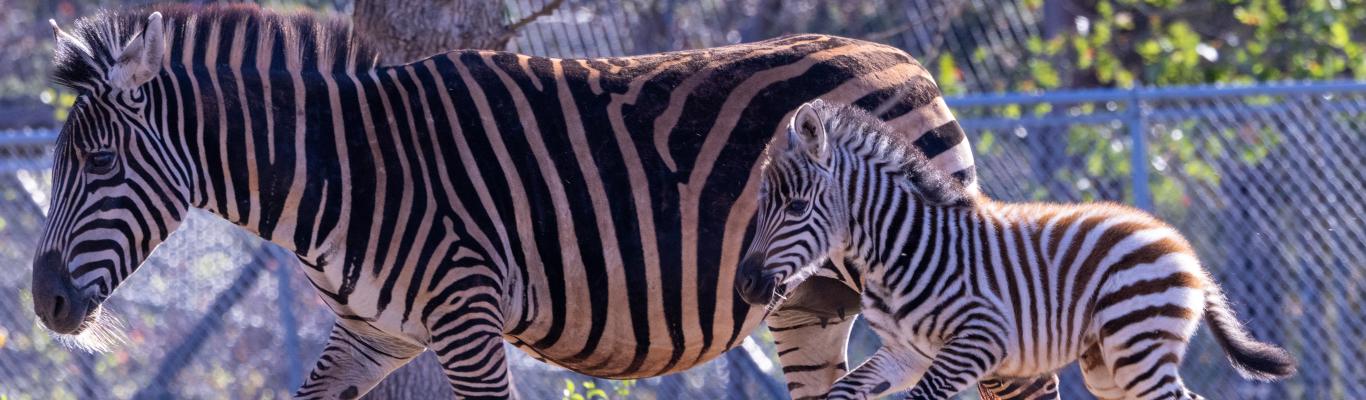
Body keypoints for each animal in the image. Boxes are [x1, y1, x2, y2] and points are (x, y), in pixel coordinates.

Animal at [28, 4, 1054, 398]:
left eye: (102, 161)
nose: (43, 302)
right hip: (822, 299)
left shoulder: (469, 317)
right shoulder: (374, 332)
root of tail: (905, 60)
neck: (347, 170)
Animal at [735, 100, 1297, 399]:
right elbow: (841, 390)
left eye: (797, 206)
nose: (745, 284)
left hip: (1137, 345)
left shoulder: (980, 339)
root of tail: (1177, 241)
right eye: (762, 205)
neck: (900, 247)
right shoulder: (904, 353)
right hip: (1110, 364)